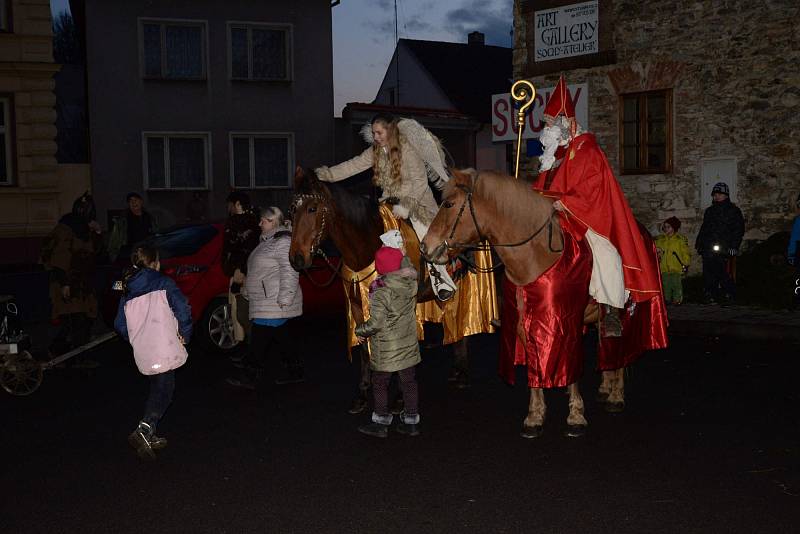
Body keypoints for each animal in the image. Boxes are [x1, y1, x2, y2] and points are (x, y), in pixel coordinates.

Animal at [418, 171, 668, 440]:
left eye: (448, 204)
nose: (425, 247)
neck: (536, 257)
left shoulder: (565, 324)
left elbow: (570, 367)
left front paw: (575, 415)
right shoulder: (524, 325)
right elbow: (535, 367)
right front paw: (535, 416)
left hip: (627, 314)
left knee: (621, 351)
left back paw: (616, 395)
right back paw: (605, 386)